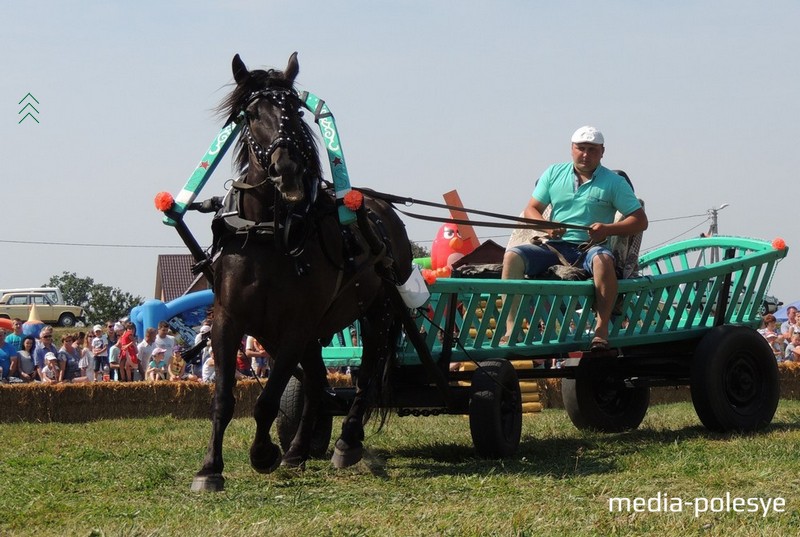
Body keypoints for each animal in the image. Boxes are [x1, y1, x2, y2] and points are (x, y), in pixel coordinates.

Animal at [190, 53, 410, 490]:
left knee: (366, 375)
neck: (266, 233)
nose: (288, 169)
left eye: (295, 110)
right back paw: (297, 450)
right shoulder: (231, 321)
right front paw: (210, 468)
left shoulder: (295, 324)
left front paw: (263, 453)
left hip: (376, 313)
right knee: (316, 384)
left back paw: (346, 441)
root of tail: (382, 206)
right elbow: (224, 398)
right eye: (251, 114)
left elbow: (267, 400)